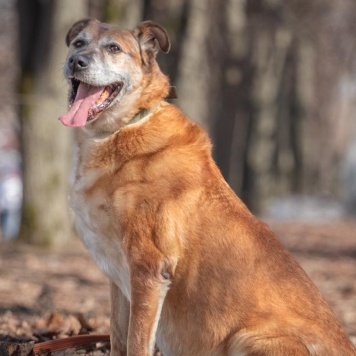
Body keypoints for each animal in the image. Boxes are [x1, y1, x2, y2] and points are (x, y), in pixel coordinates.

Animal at [59, 19, 356, 356]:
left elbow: (136, 341)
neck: (125, 126)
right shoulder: (118, 276)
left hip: (247, 337)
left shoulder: (148, 269)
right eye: (78, 43)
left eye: (113, 48)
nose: (76, 62)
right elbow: (119, 337)